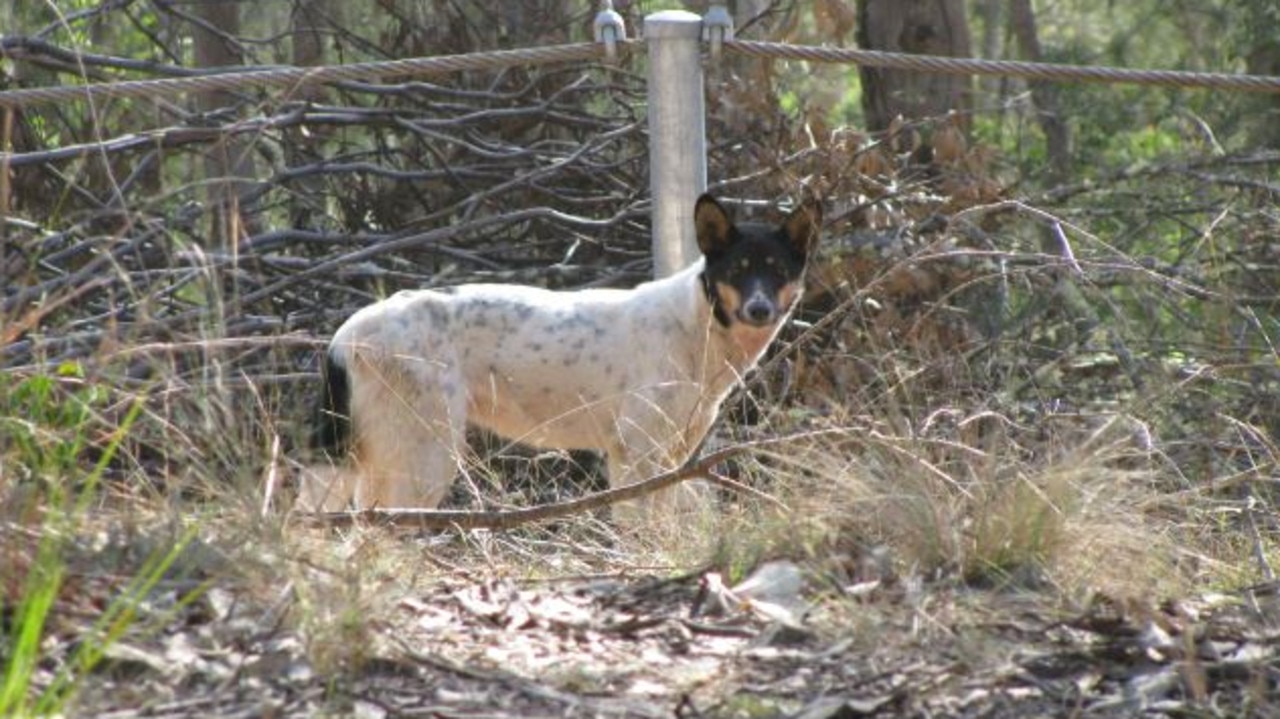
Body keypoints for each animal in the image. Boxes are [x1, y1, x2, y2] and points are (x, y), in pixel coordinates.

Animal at [298, 193, 819, 519]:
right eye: (738, 270)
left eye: (776, 270)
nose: (759, 309)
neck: (697, 327)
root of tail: (344, 336)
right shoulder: (634, 455)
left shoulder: (669, 457)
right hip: (426, 457)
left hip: (384, 463)